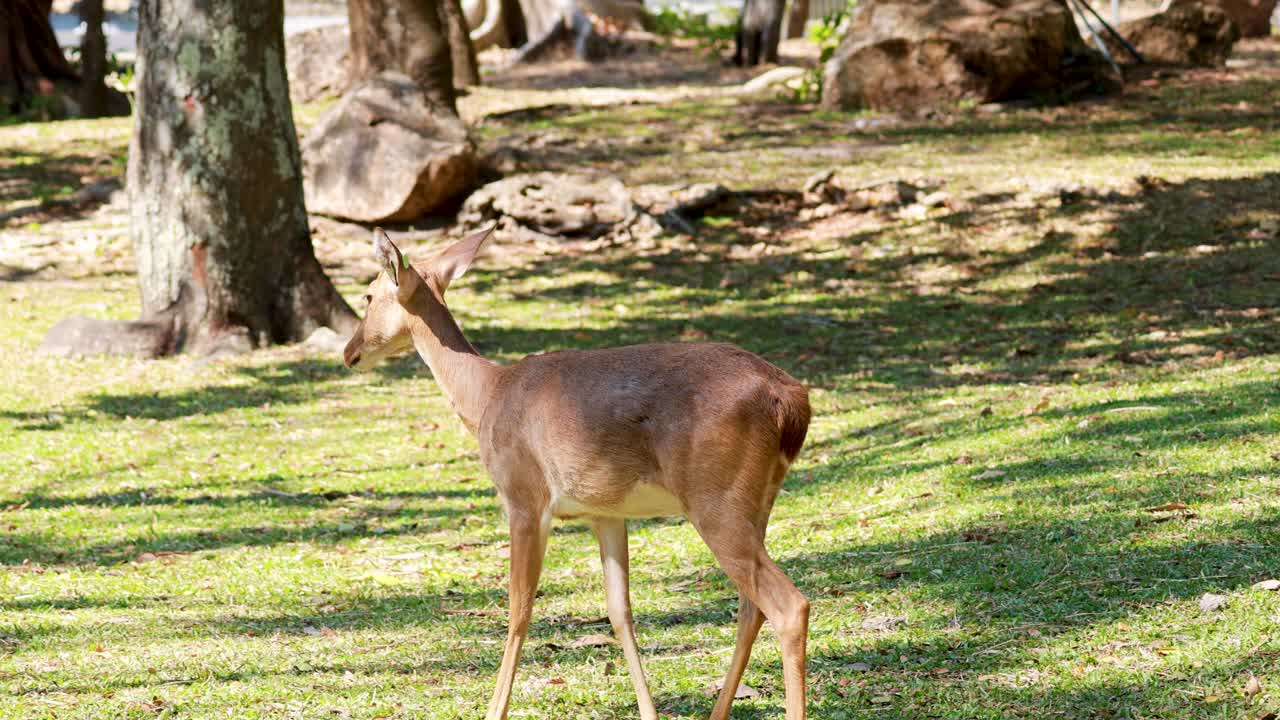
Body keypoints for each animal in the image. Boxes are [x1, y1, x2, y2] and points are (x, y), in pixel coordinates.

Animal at [343, 226, 812, 720]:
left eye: (369, 294)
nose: (349, 352)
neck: (487, 395)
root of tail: (791, 402)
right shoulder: (605, 512)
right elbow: (620, 611)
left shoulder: (524, 498)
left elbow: (519, 608)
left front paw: (494, 711)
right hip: (757, 500)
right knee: (751, 607)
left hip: (715, 499)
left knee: (788, 605)